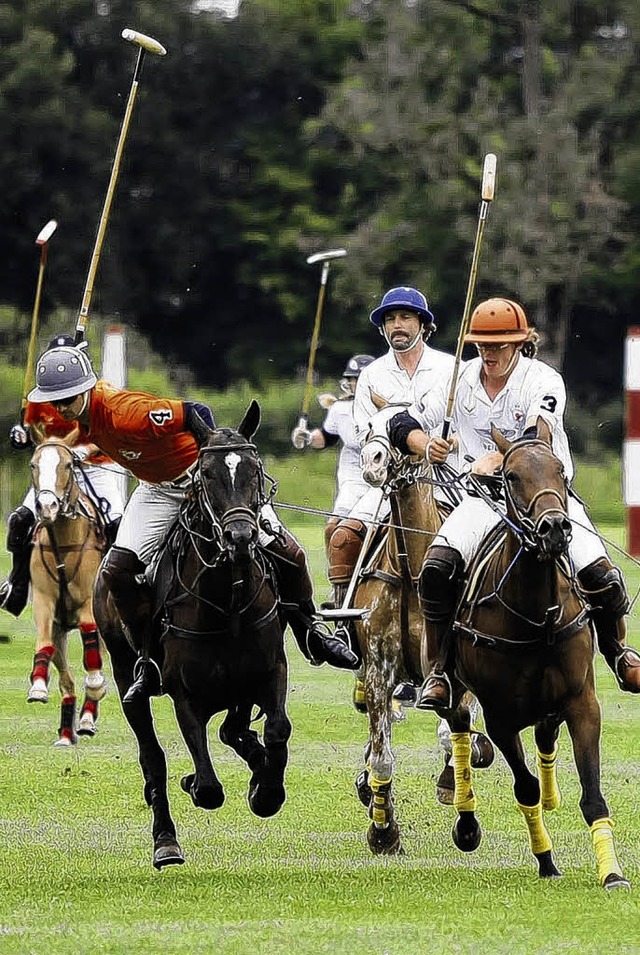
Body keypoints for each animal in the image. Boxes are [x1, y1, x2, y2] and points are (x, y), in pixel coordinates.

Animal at [26, 432, 110, 748]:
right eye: (33, 464)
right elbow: (44, 643)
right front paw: (38, 686)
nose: (47, 507)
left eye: (67, 464)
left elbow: (91, 650)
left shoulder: (87, 604)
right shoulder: (44, 601)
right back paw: (66, 732)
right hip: (61, 628)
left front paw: (96, 686)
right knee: (67, 679)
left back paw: (87, 716)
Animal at [92, 400, 290, 872]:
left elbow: (277, 730)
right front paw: (197, 782)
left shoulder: (271, 671)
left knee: (235, 729)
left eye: (255, 469)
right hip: (125, 673)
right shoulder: (185, 694)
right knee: (152, 756)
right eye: (207, 475)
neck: (227, 602)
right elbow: (207, 786)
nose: (241, 537)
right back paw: (166, 841)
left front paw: (266, 790)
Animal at [352, 408, 492, 856]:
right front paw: (383, 832)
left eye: (407, 423)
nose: (373, 461)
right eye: (368, 426)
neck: (412, 569)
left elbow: (454, 737)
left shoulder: (453, 677)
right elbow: (382, 755)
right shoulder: (379, 670)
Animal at [440, 418, 632, 888]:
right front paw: (545, 859)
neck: (535, 615)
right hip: (451, 680)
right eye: (510, 476)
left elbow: (593, 796)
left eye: (560, 470)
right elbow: (522, 787)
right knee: (457, 725)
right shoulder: (500, 717)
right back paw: (466, 821)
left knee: (545, 732)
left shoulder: (583, 702)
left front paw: (612, 874)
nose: (555, 528)